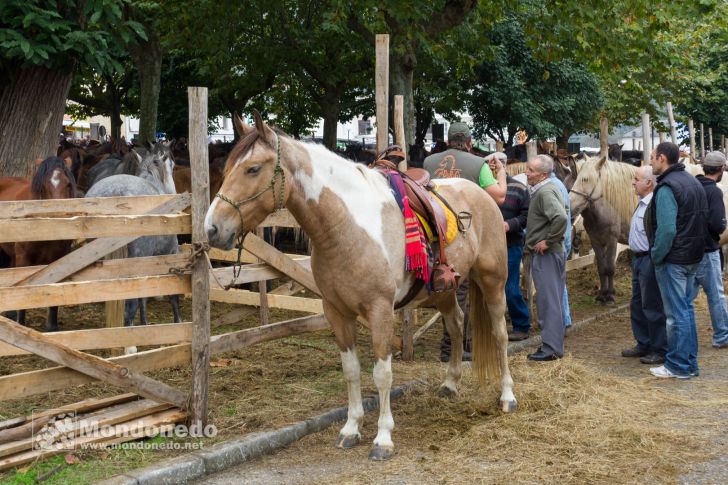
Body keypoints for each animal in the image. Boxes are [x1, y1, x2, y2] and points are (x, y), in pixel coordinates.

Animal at [0, 157, 77, 330]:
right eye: (44, 185)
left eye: (68, 184)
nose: (58, 215)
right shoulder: (24, 259)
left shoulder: (59, 259)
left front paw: (52, 328)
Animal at [86, 141, 181, 328]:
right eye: (172, 165)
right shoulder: (171, 253)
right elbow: (173, 294)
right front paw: (178, 321)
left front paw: (144, 322)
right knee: (129, 307)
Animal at [202, 112, 516, 462]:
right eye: (226, 167)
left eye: (253, 169)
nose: (212, 229)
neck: (346, 226)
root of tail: (482, 193)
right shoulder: (336, 312)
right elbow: (351, 370)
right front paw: (351, 428)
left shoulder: (380, 312)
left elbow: (382, 374)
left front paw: (383, 437)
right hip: (444, 289)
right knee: (458, 323)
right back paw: (450, 384)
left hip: (493, 281)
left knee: (500, 335)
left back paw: (507, 396)